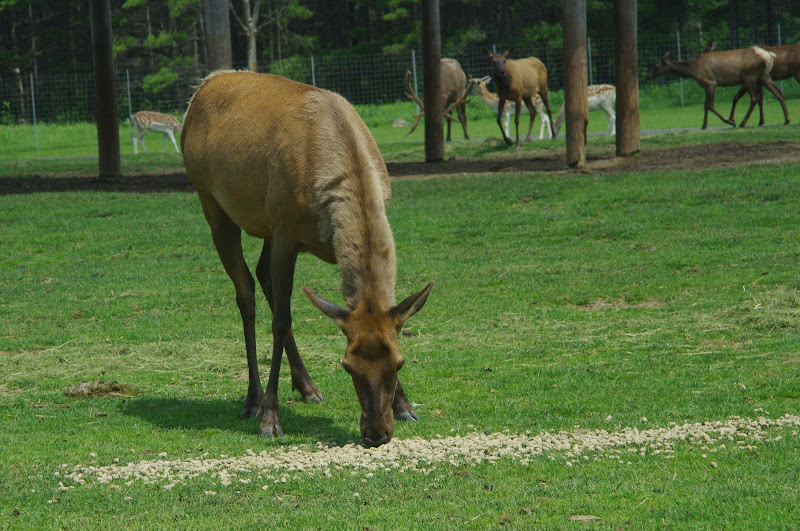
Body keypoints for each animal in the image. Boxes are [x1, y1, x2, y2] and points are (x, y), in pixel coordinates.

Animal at [181, 70, 433, 448]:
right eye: (347, 366)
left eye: (400, 363)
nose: (376, 433)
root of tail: (201, 88)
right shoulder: (286, 230)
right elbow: (281, 321)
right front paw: (271, 418)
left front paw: (405, 406)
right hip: (212, 203)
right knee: (246, 291)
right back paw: (253, 398)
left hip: (265, 222)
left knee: (262, 276)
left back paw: (307, 386)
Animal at [647, 46, 788, 129]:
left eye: (656, 66)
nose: (648, 77)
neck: (692, 70)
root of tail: (769, 56)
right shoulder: (706, 86)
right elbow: (705, 105)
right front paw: (704, 126)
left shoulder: (710, 83)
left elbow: (709, 105)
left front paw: (730, 121)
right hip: (765, 76)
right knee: (779, 92)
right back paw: (786, 119)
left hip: (750, 77)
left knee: (755, 98)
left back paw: (742, 123)